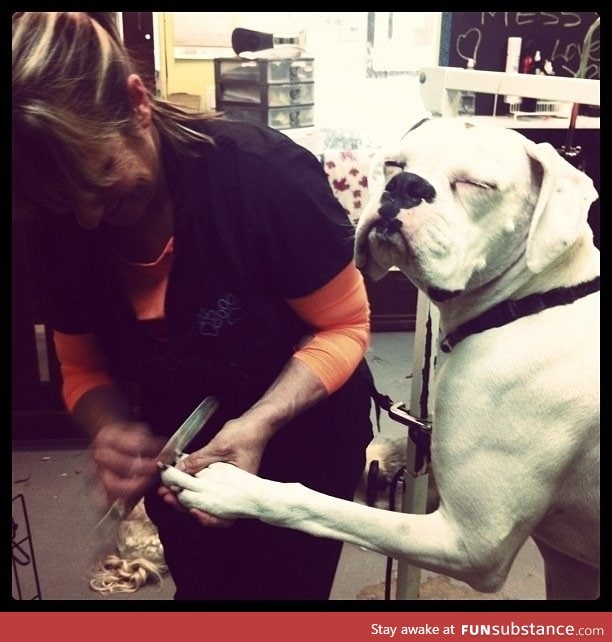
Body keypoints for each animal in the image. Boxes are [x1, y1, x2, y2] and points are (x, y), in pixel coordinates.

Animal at [160, 117, 600, 596]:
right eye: (395, 165)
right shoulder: (569, 567)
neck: (536, 299)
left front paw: (230, 488)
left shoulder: (468, 544)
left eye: (476, 184)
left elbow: (316, 504)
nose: (406, 186)